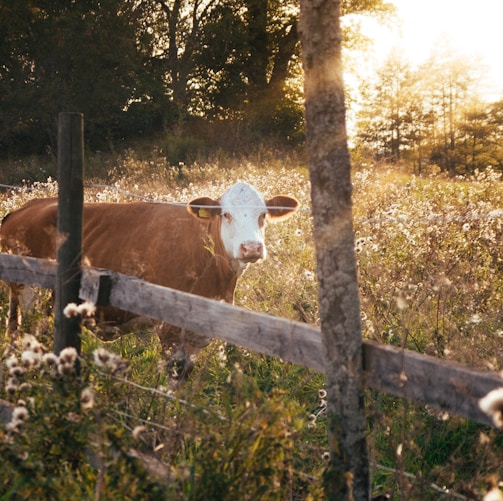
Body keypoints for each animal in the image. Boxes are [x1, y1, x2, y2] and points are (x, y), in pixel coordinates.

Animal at [0, 183, 300, 376]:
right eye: (226, 214)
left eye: (263, 215)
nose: (251, 248)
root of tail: (25, 207)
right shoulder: (168, 328)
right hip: (27, 291)